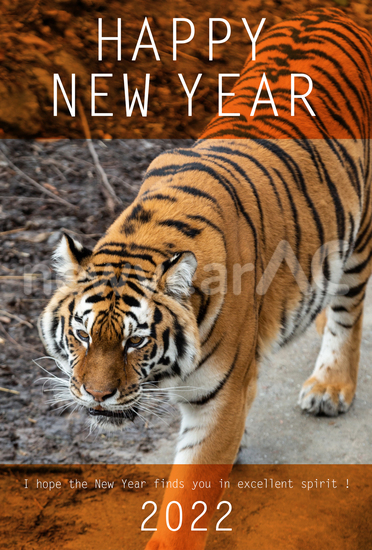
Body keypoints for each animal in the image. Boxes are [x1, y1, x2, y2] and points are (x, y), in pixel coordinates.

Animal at [39, 7, 370, 548]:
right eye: (82, 335)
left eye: (135, 342)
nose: (96, 395)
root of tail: (337, 11)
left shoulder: (218, 400)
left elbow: (186, 500)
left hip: (358, 234)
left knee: (348, 310)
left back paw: (330, 386)